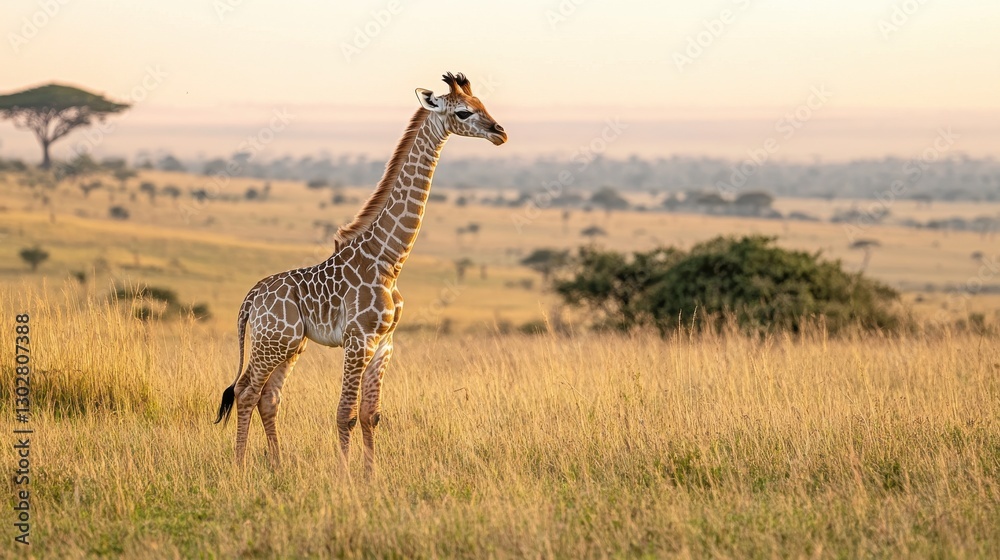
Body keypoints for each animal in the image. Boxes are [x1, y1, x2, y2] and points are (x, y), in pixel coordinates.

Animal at [214, 72, 506, 473]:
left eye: (482, 104)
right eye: (463, 112)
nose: (500, 132)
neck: (389, 259)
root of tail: (250, 298)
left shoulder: (385, 343)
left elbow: (371, 414)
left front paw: (371, 475)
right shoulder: (358, 339)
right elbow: (345, 414)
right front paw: (345, 476)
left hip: (290, 345)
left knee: (268, 397)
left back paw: (278, 466)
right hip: (272, 343)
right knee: (245, 392)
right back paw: (240, 466)